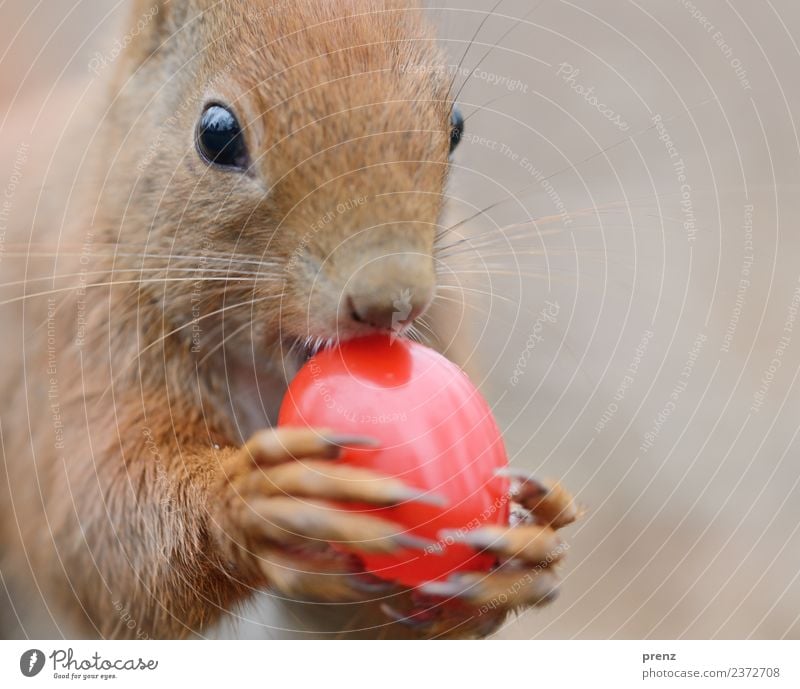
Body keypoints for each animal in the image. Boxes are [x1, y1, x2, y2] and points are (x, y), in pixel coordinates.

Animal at [0, 0, 576, 640]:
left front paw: (521, 548)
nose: (389, 303)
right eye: (216, 134)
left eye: (454, 124)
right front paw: (254, 499)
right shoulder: (74, 340)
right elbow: (95, 544)